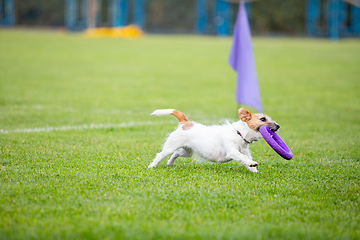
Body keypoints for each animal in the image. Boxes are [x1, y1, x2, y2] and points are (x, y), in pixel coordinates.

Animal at [148, 107, 280, 172]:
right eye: (262, 119)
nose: (278, 126)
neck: (239, 133)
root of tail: (185, 123)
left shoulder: (245, 151)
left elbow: (246, 158)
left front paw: (253, 170)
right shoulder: (232, 151)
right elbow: (242, 157)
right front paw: (252, 164)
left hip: (187, 151)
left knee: (175, 154)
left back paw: (170, 163)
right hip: (171, 146)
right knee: (160, 155)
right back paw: (152, 166)